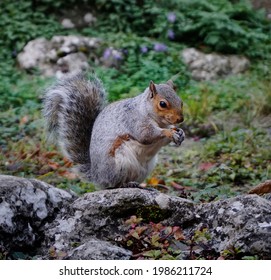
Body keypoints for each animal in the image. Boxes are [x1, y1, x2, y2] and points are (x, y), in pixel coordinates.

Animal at [43, 72, 185, 190]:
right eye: (162, 104)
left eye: (181, 101)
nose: (180, 119)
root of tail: (97, 177)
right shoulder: (135, 120)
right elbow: (146, 135)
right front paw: (169, 133)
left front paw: (180, 133)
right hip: (119, 164)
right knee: (113, 184)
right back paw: (126, 184)